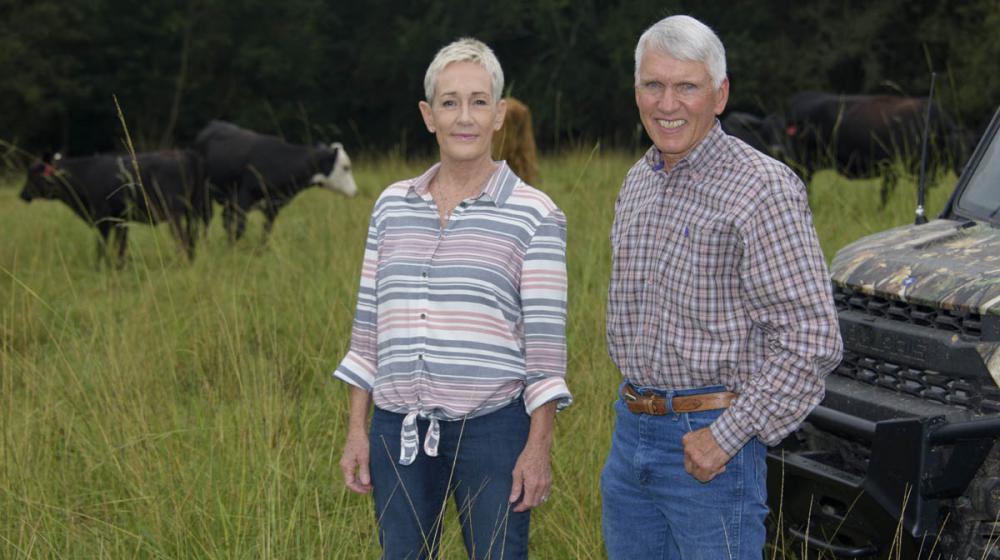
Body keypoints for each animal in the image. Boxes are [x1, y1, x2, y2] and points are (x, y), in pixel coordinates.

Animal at [19, 150, 209, 266]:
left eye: (32, 173)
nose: (22, 194)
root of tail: (185, 153)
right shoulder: (121, 220)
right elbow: (120, 248)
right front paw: (119, 268)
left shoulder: (102, 218)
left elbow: (102, 246)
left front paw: (99, 267)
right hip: (193, 210)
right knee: (192, 238)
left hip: (174, 211)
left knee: (182, 239)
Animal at [193, 121, 358, 242]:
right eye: (345, 167)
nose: (355, 191)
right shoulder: (244, 198)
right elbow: (240, 227)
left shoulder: (274, 207)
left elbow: (266, 231)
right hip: (205, 192)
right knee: (207, 217)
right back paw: (206, 243)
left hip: (228, 198)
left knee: (225, 218)